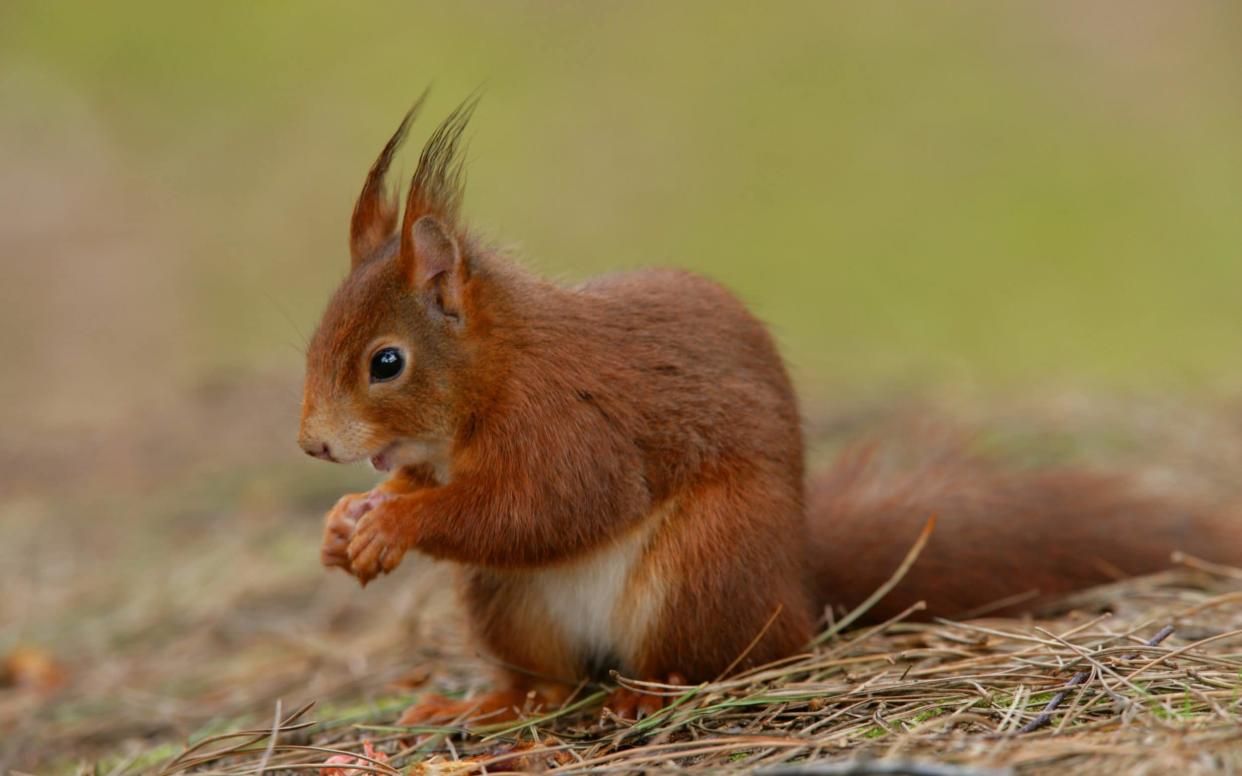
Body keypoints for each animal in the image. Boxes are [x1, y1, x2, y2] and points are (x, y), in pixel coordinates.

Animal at [300, 96, 1242, 720]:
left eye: (386, 363)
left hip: (704, 568)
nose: (313, 447)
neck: (493, 375)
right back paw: (500, 704)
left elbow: (550, 506)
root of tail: (799, 589)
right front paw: (350, 524)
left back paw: (652, 694)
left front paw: (395, 524)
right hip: (509, 603)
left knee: (718, 659)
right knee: (553, 679)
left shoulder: (568, 424)